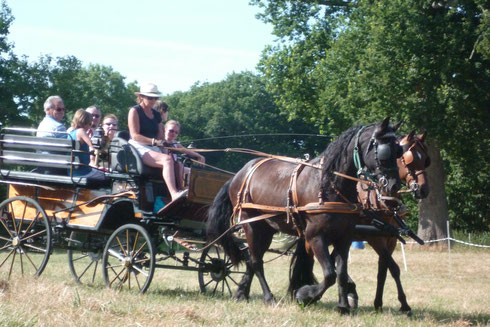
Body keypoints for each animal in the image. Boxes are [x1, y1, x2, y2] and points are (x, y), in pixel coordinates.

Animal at [206, 118, 402, 316]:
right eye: (384, 152)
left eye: (399, 151)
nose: (394, 186)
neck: (328, 185)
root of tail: (239, 174)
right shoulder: (315, 236)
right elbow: (330, 274)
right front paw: (306, 294)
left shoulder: (344, 237)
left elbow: (340, 273)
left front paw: (343, 306)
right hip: (252, 225)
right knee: (256, 261)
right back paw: (268, 297)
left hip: (267, 230)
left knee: (252, 260)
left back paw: (241, 293)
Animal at [290, 131, 430, 316]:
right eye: (408, 159)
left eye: (425, 159)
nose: (423, 189)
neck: (378, 200)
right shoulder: (374, 239)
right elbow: (393, 268)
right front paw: (404, 304)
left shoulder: (390, 239)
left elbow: (384, 270)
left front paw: (379, 303)